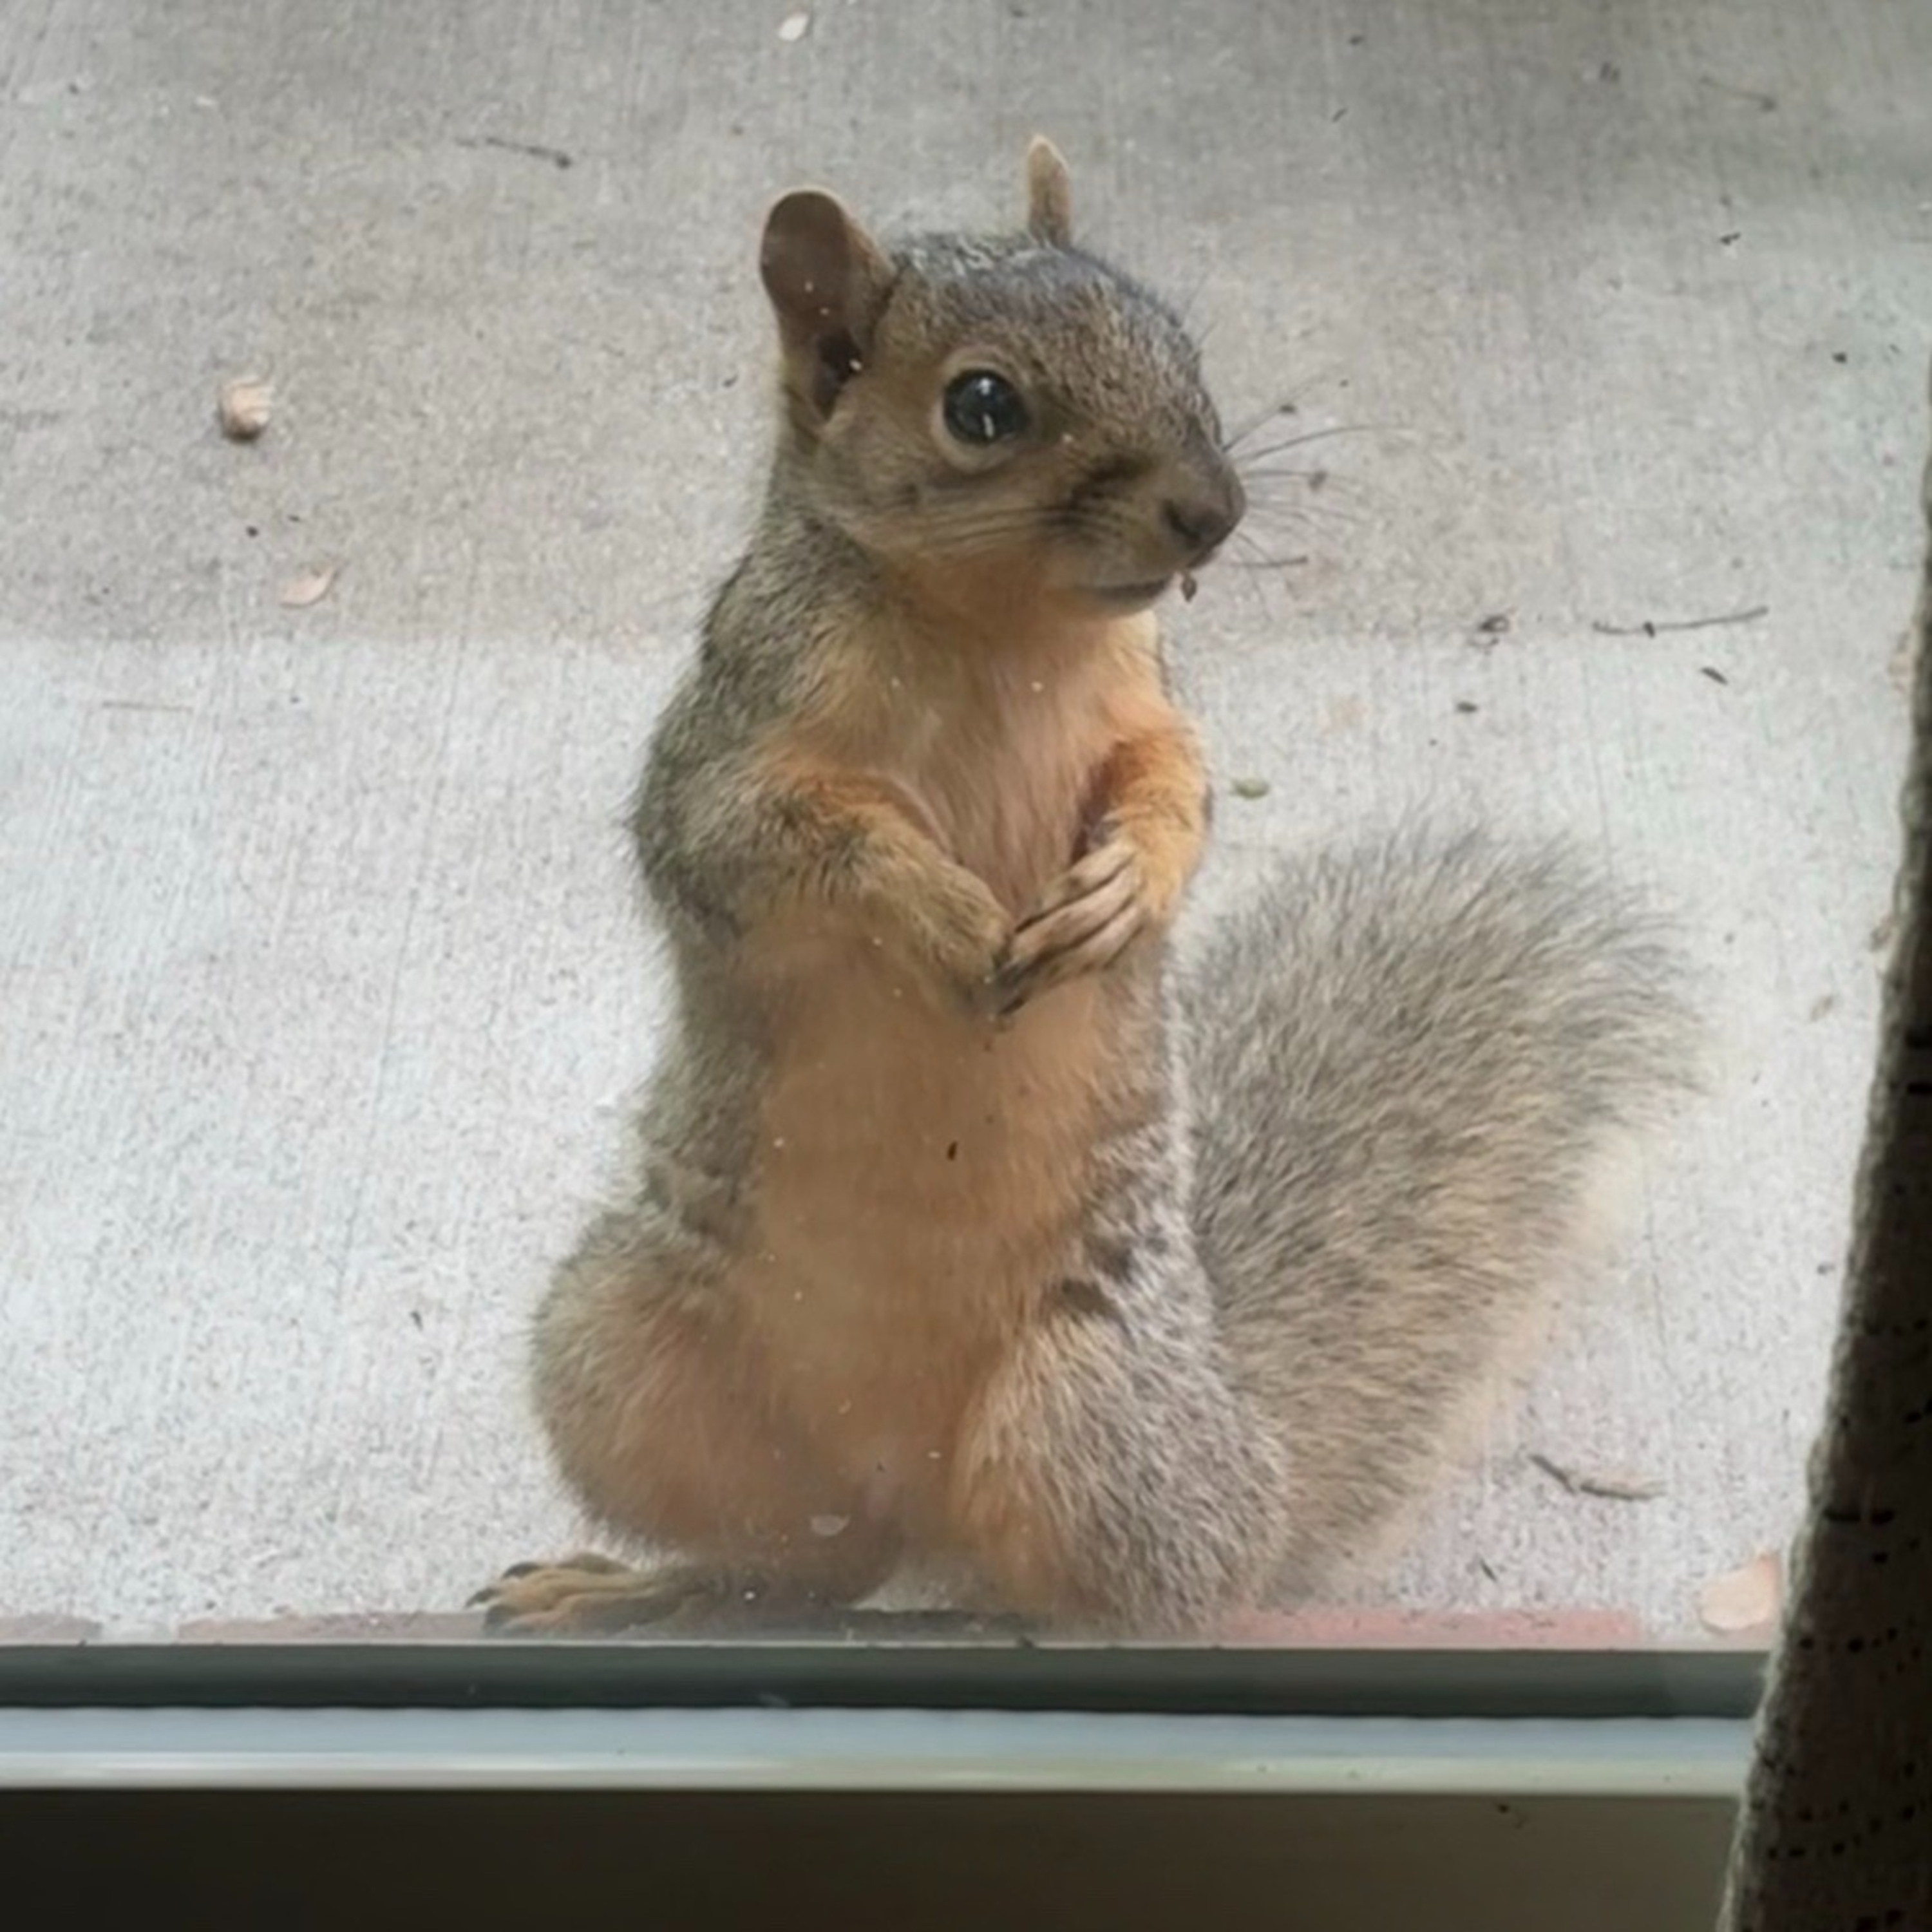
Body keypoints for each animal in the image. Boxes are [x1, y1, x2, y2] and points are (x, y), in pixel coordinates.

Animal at [473, 139, 1703, 1638]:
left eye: (1178, 339)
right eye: (982, 407)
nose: (1215, 512)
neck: (1000, 638)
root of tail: (1252, 1464)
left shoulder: (1147, 704)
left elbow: (1181, 785)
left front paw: (1130, 887)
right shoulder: (728, 741)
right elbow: (756, 841)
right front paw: (934, 906)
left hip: (1088, 1412)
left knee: (1149, 1599)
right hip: (626, 1351)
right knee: (809, 1563)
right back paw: (645, 1588)